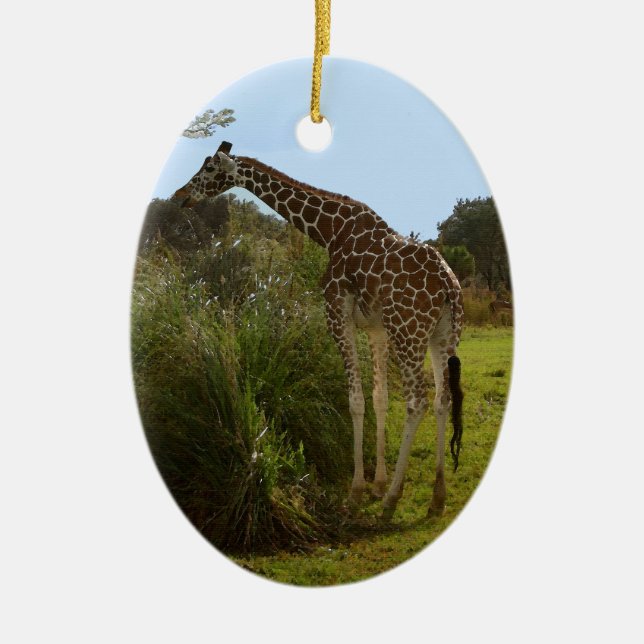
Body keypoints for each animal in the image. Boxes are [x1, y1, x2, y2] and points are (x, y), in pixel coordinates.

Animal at [171, 141, 465, 520]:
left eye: (208, 169)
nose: (180, 195)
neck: (329, 231)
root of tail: (447, 282)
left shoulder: (337, 314)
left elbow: (355, 401)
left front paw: (357, 491)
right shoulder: (376, 329)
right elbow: (379, 398)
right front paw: (377, 483)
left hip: (408, 333)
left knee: (418, 402)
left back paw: (392, 501)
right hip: (442, 337)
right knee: (443, 399)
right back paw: (436, 497)